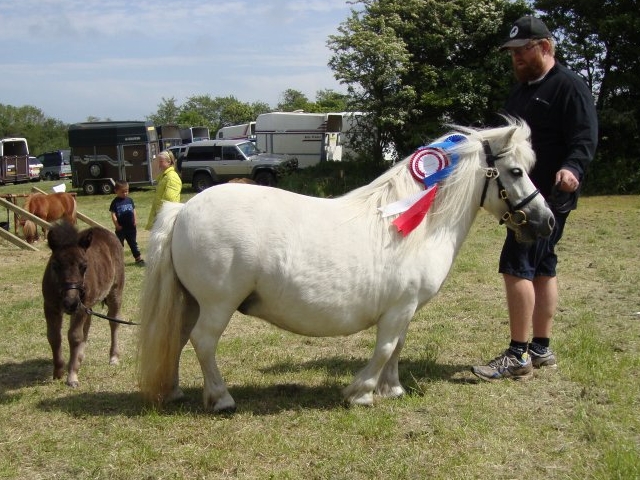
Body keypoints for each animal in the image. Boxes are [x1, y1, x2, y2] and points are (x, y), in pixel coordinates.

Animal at [42, 221, 125, 387]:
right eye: (55, 265)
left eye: (84, 266)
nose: (71, 302)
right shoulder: (50, 306)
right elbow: (54, 336)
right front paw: (58, 371)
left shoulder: (80, 308)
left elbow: (74, 336)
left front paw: (72, 377)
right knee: (87, 326)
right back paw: (79, 357)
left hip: (115, 292)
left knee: (114, 322)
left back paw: (113, 357)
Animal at [137, 119, 556, 411]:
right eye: (516, 171)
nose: (546, 222)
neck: (417, 224)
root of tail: (183, 209)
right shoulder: (398, 309)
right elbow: (385, 348)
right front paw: (362, 393)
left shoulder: (404, 309)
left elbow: (398, 347)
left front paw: (392, 389)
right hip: (218, 304)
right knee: (203, 342)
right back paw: (221, 399)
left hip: (192, 301)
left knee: (178, 337)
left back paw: (173, 391)